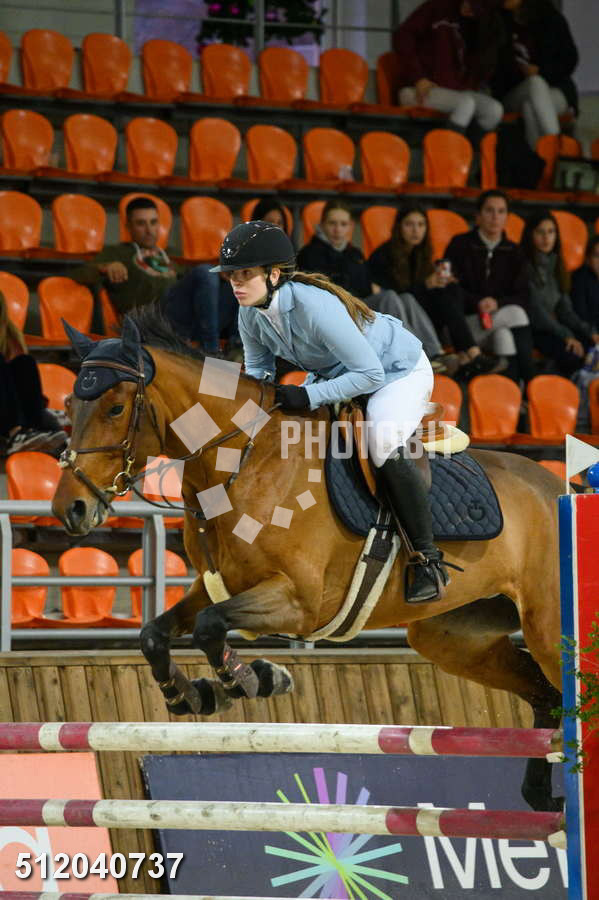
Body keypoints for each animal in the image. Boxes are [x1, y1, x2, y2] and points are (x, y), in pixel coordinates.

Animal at [52, 308, 564, 813]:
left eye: (115, 408)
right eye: (69, 408)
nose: (69, 509)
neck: (243, 462)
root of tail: (560, 486)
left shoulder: (300, 602)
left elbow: (210, 627)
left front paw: (252, 679)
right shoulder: (214, 584)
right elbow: (155, 634)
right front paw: (192, 694)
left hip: (546, 629)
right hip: (453, 636)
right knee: (545, 694)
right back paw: (542, 795)